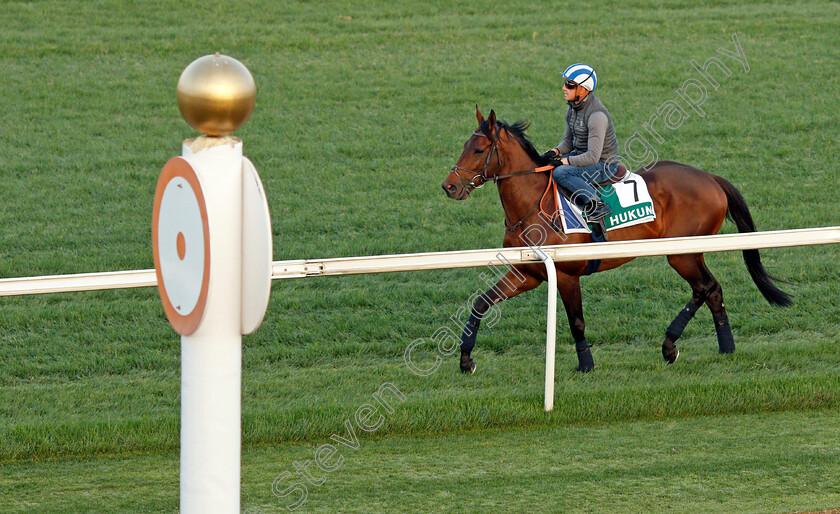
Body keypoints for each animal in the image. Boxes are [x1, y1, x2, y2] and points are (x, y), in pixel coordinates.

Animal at [442, 108, 792, 372]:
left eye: (478, 150)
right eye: (464, 145)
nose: (449, 186)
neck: (532, 205)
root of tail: (710, 178)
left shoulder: (566, 274)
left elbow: (576, 322)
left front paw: (585, 365)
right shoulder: (527, 273)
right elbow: (480, 303)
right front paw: (466, 360)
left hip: (682, 253)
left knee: (705, 288)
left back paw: (674, 345)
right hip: (689, 252)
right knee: (710, 290)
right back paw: (720, 346)